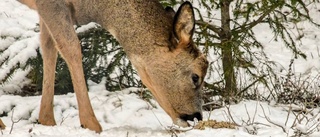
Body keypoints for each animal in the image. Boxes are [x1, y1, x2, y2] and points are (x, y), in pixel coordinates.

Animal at [0, 0, 208, 133]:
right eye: (196, 76)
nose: (196, 117)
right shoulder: (52, 4)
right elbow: (71, 48)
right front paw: (91, 125)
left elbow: (48, 47)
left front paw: (47, 120)